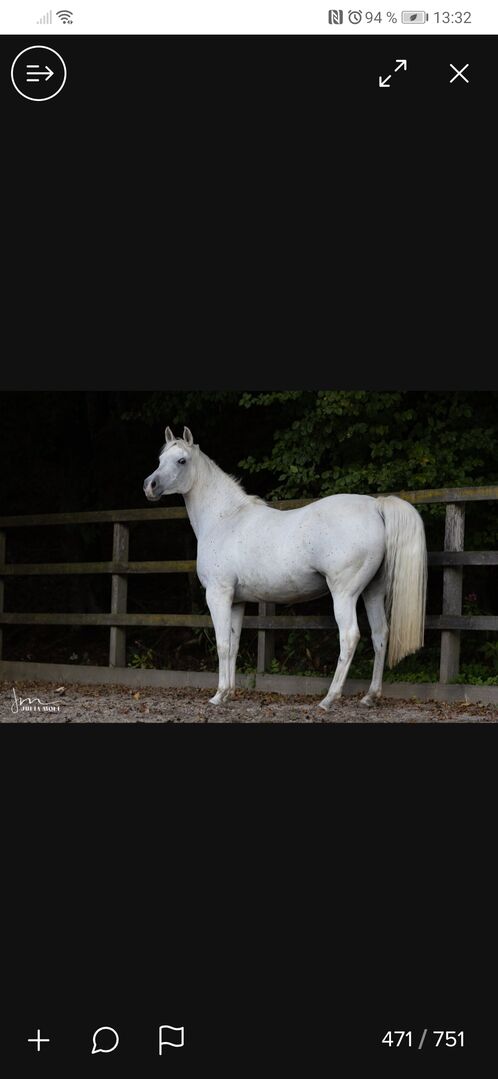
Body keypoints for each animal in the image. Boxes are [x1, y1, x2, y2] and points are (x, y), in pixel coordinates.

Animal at [144, 426, 427, 710]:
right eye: (160, 459)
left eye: (182, 460)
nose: (150, 485)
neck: (225, 519)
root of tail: (375, 506)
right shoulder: (237, 601)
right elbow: (234, 644)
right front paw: (229, 693)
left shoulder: (218, 594)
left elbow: (223, 644)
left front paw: (218, 695)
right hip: (372, 592)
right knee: (380, 635)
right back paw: (370, 696)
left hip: (344, 594)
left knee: (349, 637)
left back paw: (328, 699)